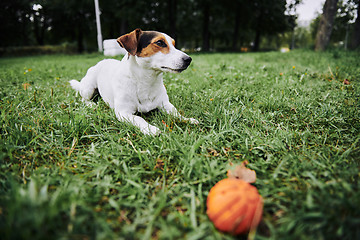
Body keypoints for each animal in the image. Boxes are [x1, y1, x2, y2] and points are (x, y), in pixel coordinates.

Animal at [69, 28, 198, 135]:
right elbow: (139, 118)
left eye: (174, 44)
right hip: (88, 88)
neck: (146, 81)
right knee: (83, 99)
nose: (188, 59)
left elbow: (176, 112)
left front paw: (187, 119)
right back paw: (91, 104)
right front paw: (150, 129)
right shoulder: (123, 112)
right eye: (159, 42)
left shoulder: (165, 104)